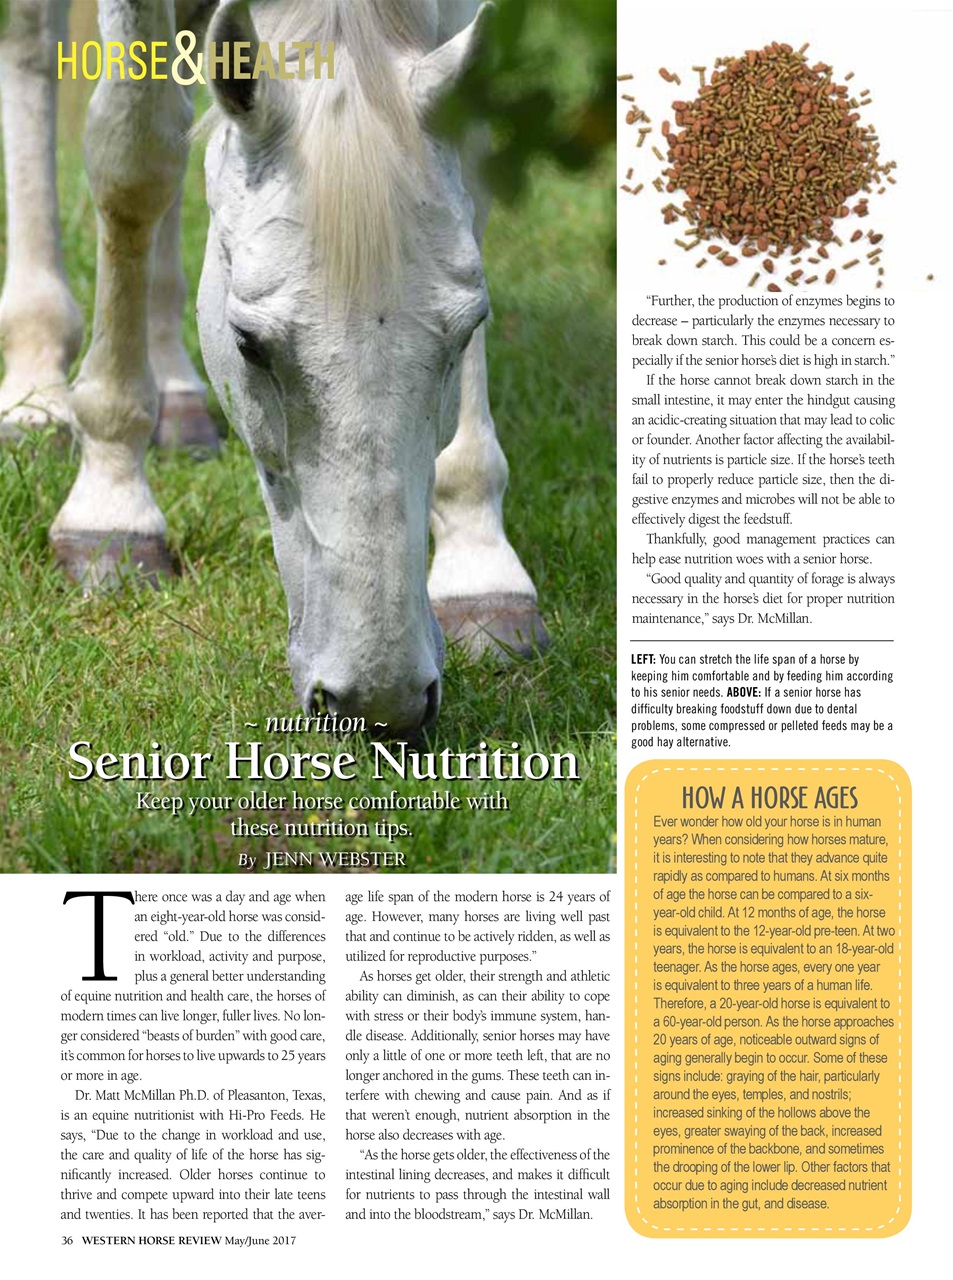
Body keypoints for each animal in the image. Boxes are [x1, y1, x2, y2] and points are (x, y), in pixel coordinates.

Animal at [0, 0, 548, 737]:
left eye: (466, 333)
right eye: (250, 344)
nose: (380, 701)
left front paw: (480, 560)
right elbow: (135, 156)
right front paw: (112, 502)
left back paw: (175, 389)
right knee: (37, 51)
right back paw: (36, 384)